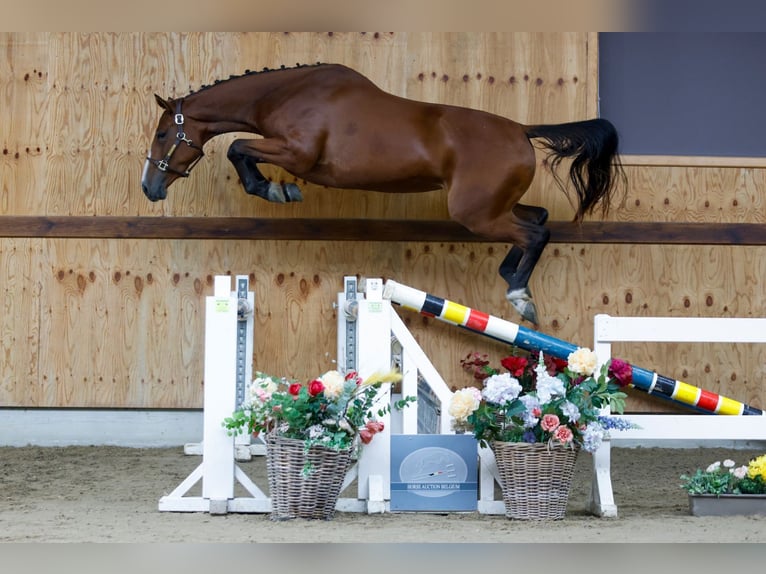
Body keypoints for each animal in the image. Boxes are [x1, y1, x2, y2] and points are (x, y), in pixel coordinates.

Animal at [144, 63, 624, 326]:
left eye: (164, 134)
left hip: (476, 214)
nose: (150, 187)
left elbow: (238, 148)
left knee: (535, 234)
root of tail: (522, 130)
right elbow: (240, 149)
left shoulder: (297, 154)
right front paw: (275, 189)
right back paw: (511, 277)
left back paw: (521, 297)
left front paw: (276, 190)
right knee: (537, 218)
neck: (290, 94)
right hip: (492, 207)